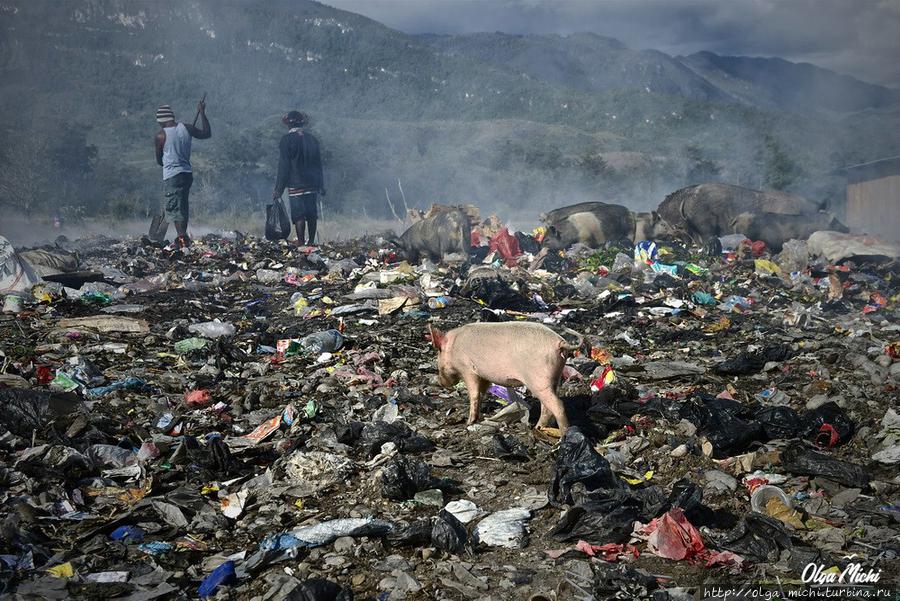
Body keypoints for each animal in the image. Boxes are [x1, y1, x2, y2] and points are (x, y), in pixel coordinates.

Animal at [428, 322, 584, 434]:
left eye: (438, 353)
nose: (440, 382)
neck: (453, 347)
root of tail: (560, 343)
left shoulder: (468, 369)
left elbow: (474, 394)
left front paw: (469, 422)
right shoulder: (484, 376)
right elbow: (481, 393)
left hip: (539, 381)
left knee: (558, 405)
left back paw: (562, 437)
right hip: (555, 378)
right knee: (547, 407)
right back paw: (537, 429)